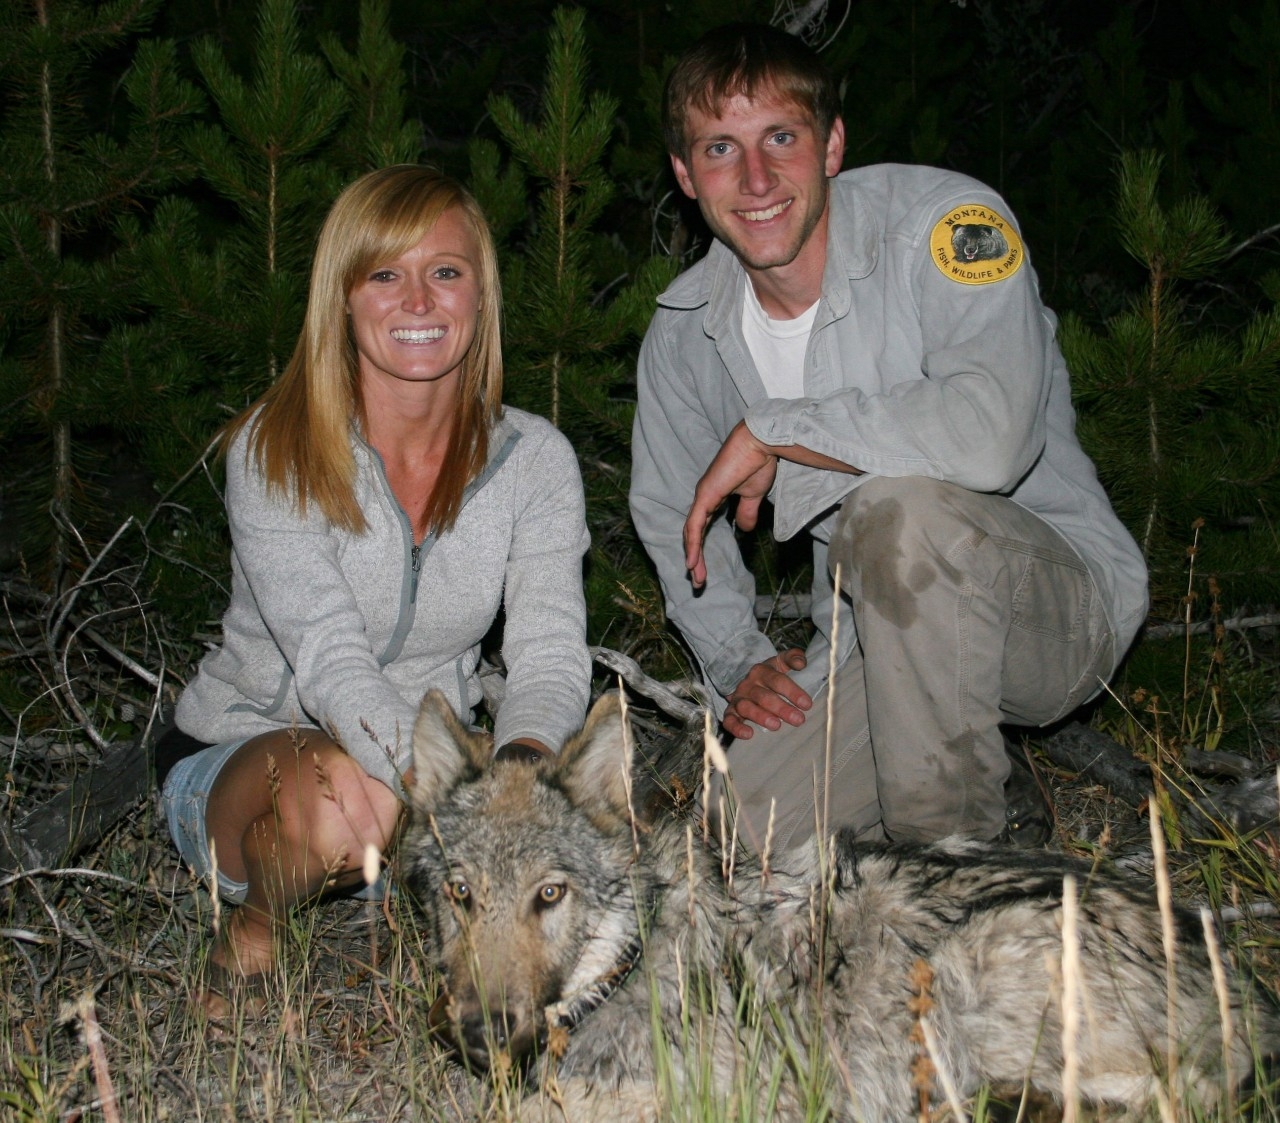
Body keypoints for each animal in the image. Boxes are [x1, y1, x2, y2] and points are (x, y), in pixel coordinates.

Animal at [400, 689, 1279, 1120]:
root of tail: (1254, 998)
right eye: (460, 894)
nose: (478, 1031)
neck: (632, 958)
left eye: (550, 894)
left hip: (955, 969)